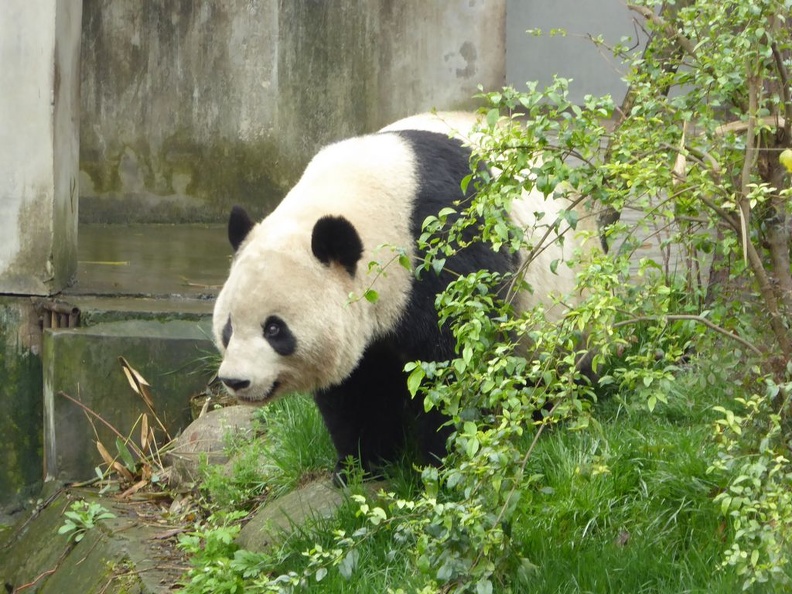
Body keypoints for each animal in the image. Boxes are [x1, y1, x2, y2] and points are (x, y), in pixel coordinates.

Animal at [210, 112, 588, 480]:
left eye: (274, 329)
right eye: (227, 329)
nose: (235, 380)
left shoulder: (446, 249)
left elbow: (455, 362)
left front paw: (442, 464)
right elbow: (358, 386)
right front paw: (361, 465)